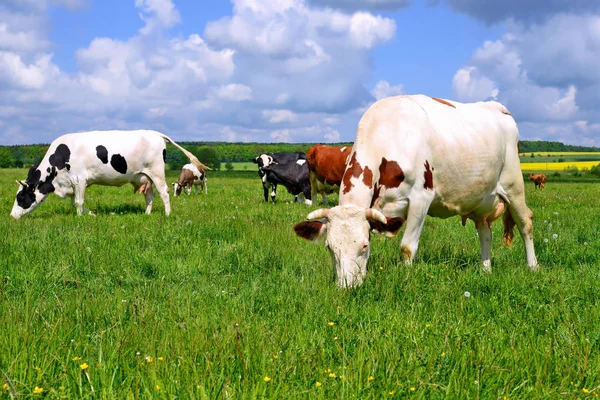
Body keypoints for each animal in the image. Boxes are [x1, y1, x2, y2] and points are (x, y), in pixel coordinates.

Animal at [9, 130, 209, 219]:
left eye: (21, 197)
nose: (11, 216)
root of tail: (155, 133)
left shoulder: (79, 179)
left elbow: (78, 202)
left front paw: (80, 217)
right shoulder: (73, 183)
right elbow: (77, 202)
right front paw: (90, 214)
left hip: (157, 173)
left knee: (164, 192)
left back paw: (167, 214)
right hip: (143, 176)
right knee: (150, 195)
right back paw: (147, 213)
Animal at [294, 94, 540, 288]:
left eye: (364, 245)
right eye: (329, 248)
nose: (347, 287)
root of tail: (498, 107)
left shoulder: (421, 198)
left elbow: (407, 248)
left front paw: (405, 277)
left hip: (514, 185)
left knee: (525, 223)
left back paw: (533, 266)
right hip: (481, 200)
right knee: (485, 232)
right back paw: (485, 269)